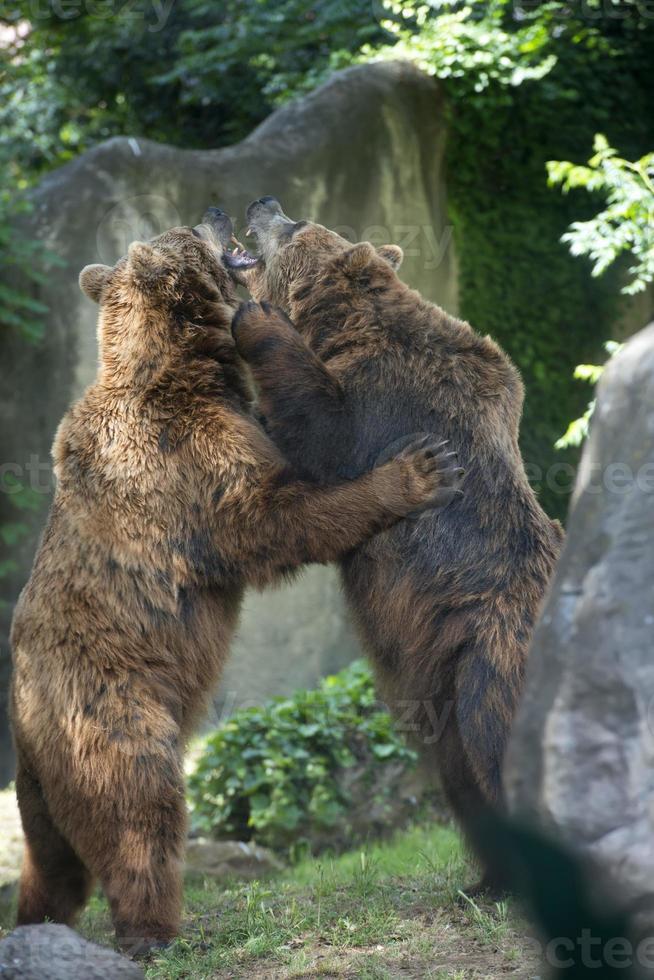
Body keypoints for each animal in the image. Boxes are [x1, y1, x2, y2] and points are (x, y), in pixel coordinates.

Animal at [7, 209, 464, 948]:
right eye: (189, 229)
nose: (216, 212)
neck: (181, 367)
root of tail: (24, 728)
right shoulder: (188, 460)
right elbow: (273, 520)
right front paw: (419, 470)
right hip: (111, 707)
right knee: (140, 810)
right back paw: (153, 927)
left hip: (41, 795)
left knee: (53, 870)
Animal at [232, 195, 568, 892]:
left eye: (298, 224)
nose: (263, 202)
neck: (344, 325)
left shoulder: (385, 401)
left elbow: (320, 439)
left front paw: (256, 320)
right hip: (446, 675)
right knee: (459, 773)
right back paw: (489, 881)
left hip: (492, 661)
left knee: (495, 747)